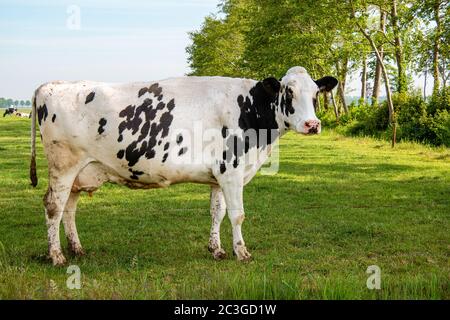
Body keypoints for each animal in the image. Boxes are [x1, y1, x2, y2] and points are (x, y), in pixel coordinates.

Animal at [29, 66, 336, 266]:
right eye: (288, 92)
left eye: (315, 94)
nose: (312, 124)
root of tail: (52, 84)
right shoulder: (233, 171)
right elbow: (237, 215)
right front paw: (241, 253)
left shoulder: (218, 175)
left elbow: (217, 213)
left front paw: (216, 250)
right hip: (63, 166)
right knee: (54, 207)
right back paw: (56, 256)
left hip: (80, 172)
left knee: (69, 209)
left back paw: (76, 249)